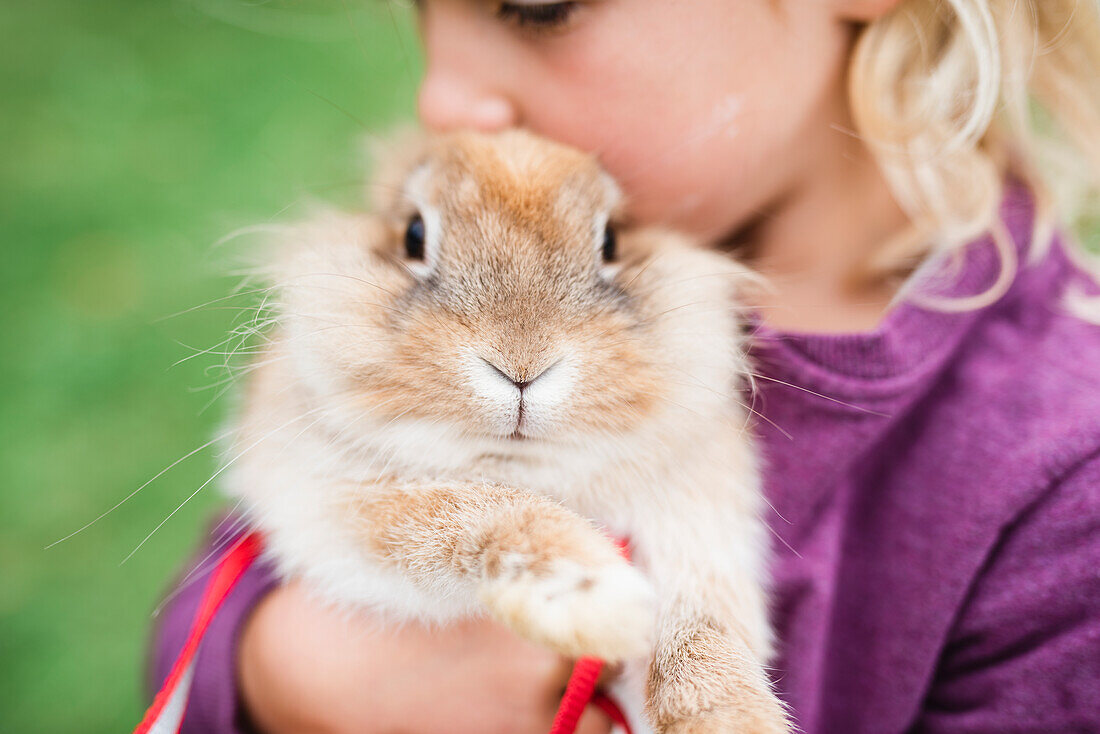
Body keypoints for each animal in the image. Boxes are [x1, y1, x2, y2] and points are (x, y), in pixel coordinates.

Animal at [225, 130, 792, 734]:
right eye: (413, 234)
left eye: (612, 240)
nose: (521, 366)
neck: (522, 464)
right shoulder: (339, 503)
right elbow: (473, 513)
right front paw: (595, 601)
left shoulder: (701, 535)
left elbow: (701, 633)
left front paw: (733, 718)